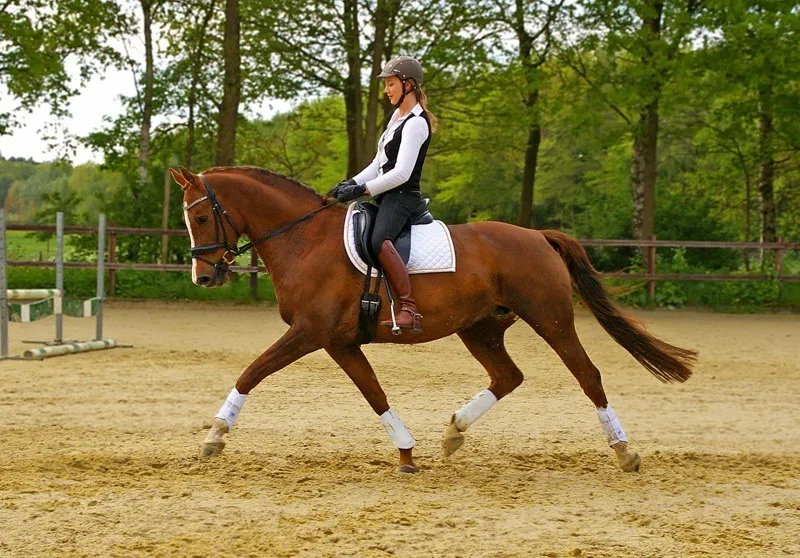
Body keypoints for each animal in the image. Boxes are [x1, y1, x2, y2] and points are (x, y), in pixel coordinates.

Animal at [169, 165, 696, 474]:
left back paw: (624, 451)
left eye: (201, 217)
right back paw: (454, 431)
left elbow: (251, 372)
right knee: (508, 376)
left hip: (551, 320)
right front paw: (406, 452)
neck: (304, 239)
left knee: (588, 375)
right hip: (480, 327)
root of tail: (537, 236)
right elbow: (374, 393)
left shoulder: (309, 333)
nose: (204, 276)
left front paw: (214, 437)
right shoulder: (339, 342)